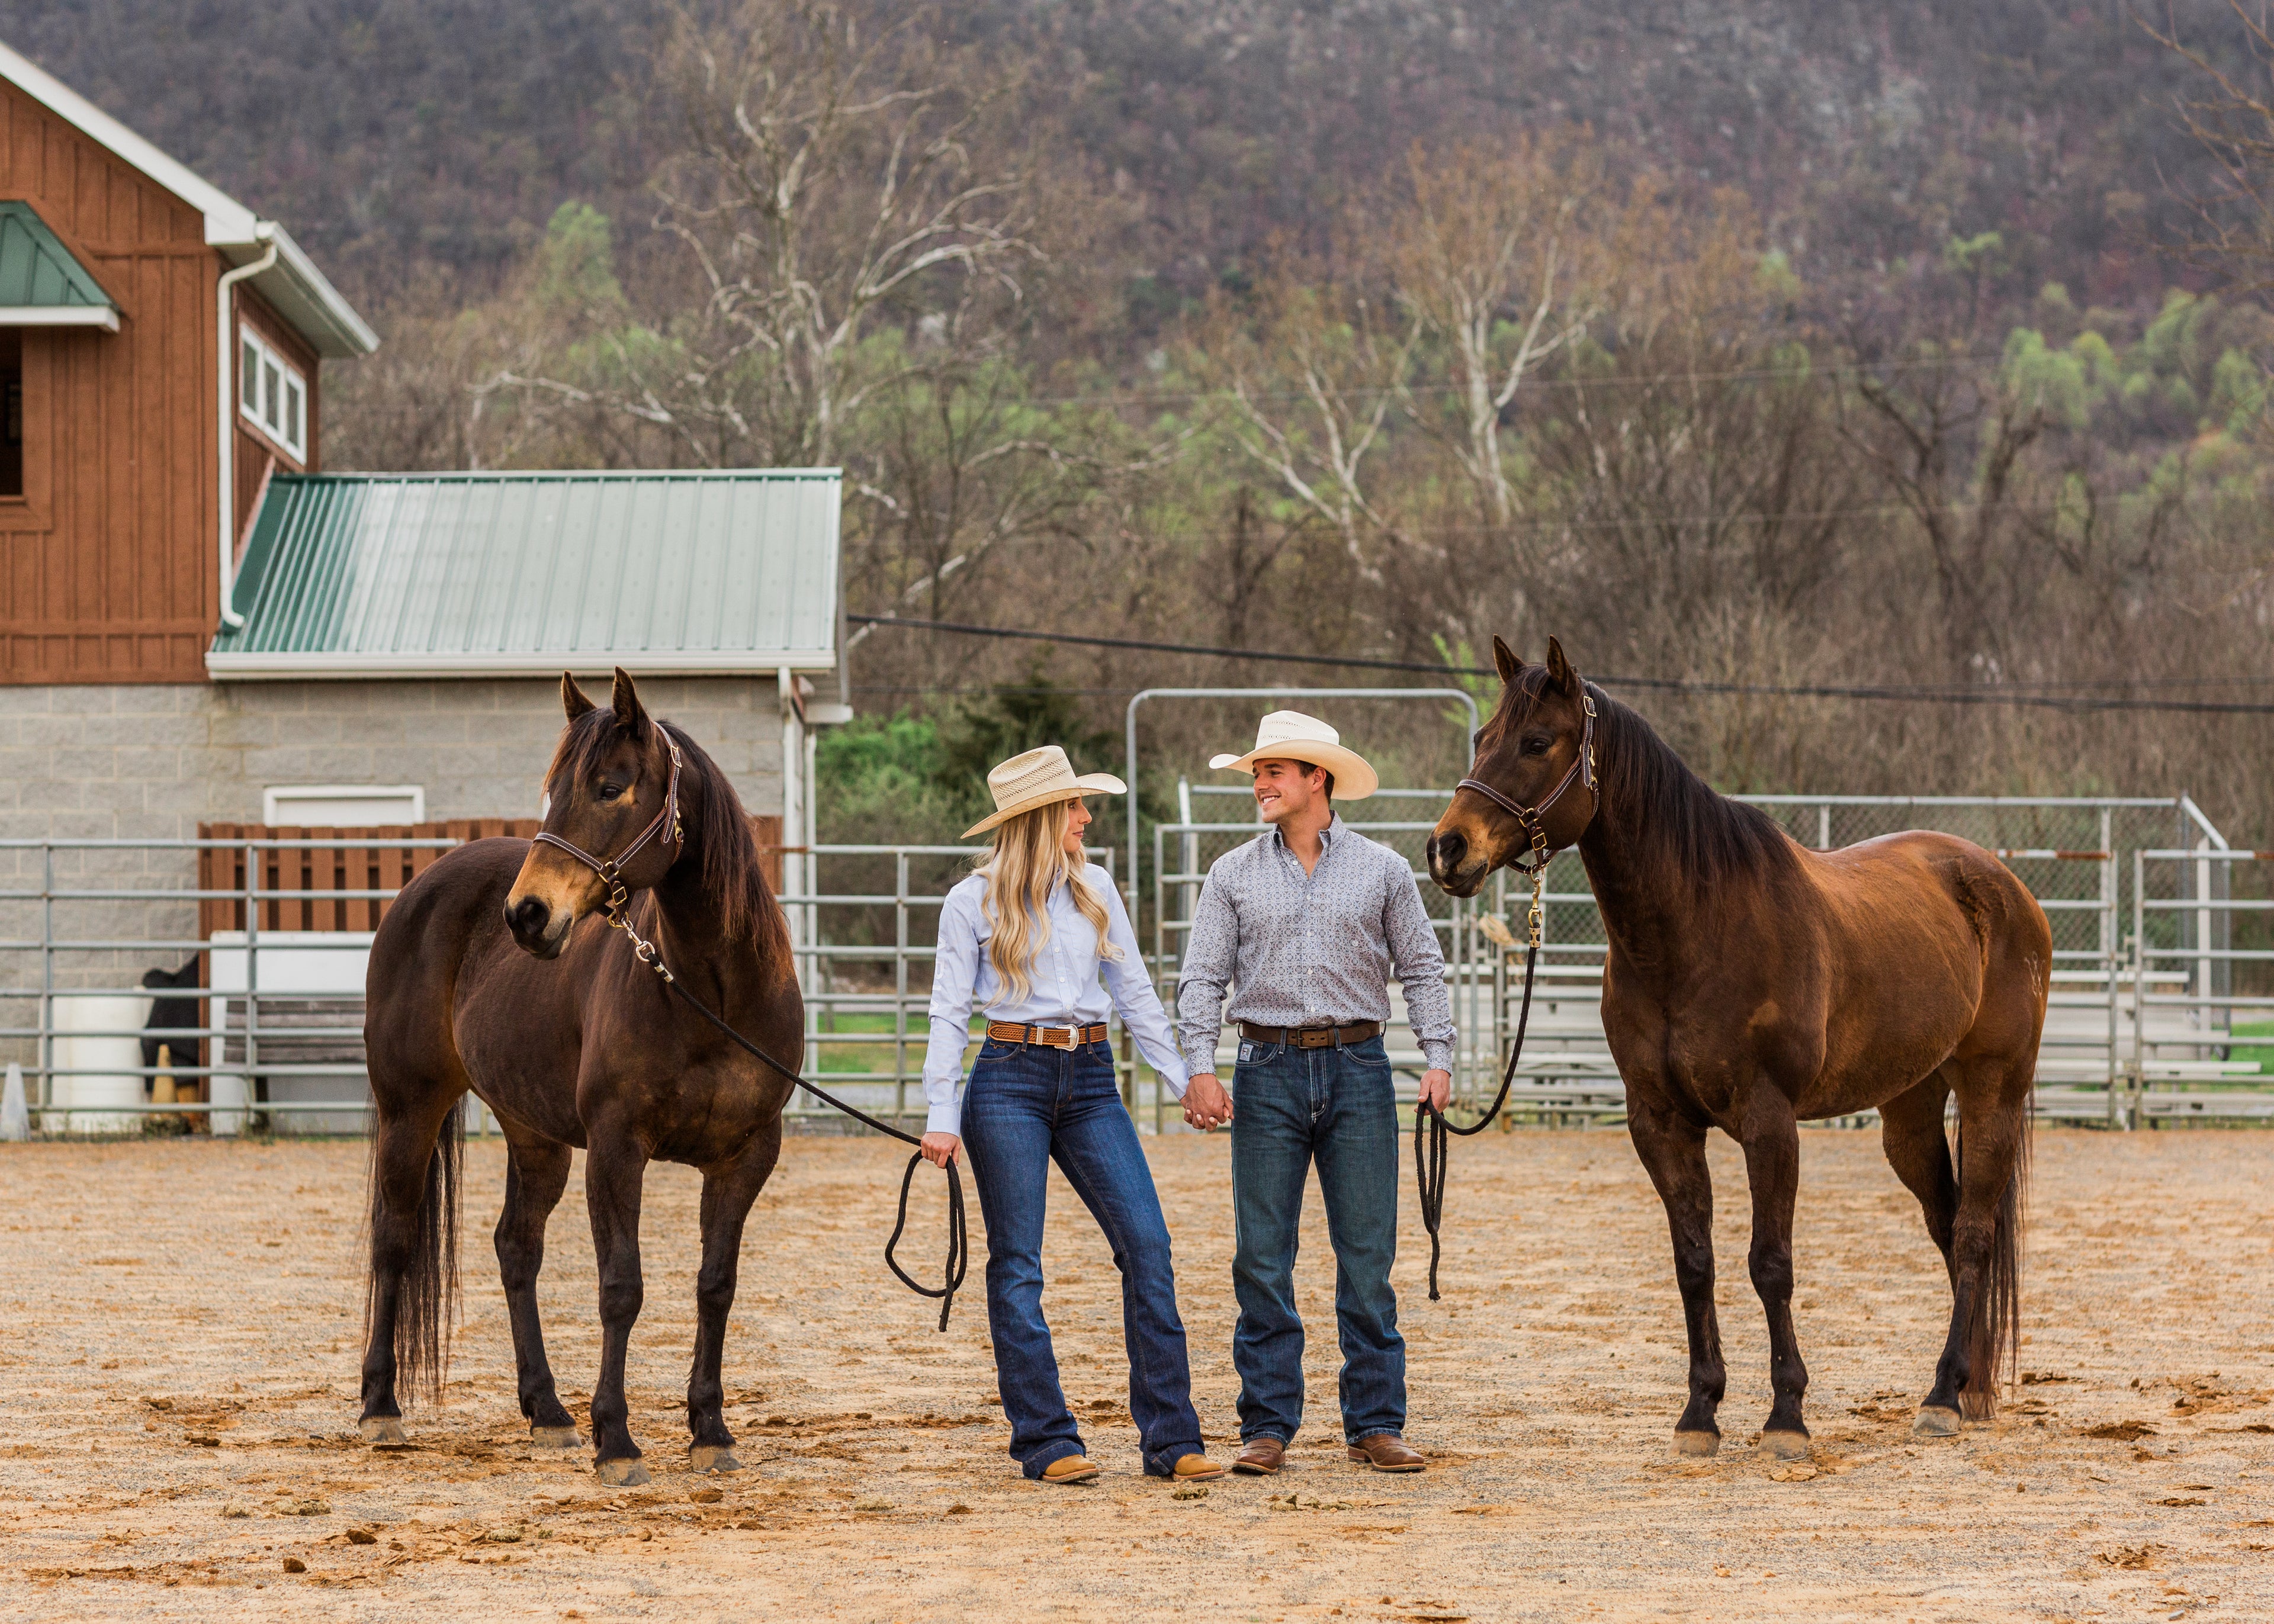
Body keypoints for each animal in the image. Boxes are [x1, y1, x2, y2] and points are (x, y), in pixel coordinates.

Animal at [352, 660, 800, 1482]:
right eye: (553, 788)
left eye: (611, 787)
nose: (527, 915)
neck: (713, 992)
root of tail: (421, 889)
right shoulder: (618, 1149)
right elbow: (621, 1288)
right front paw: (617, 1439)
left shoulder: (748, 1155)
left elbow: (715, 1286)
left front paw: (710, 1429)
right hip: (411, 1111)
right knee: (393, 1241)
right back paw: (381, 1406)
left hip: (535, 1136)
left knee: (515, 1248)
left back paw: (549, 1412)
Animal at [1419, 636, 2047, 1455]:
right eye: (1480, 738)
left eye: (1536, 742)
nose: (1447, 849)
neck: (1696, 928)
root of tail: (2000, 883)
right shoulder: (1660, 1124)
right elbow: (1695, 1263)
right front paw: (1700, 1412)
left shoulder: (1769, 1122)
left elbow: (1769, 1264)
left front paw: (1786, 1415)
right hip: (1909, 1110)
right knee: (1946, 1226)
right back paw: (1964, 1387)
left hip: (1991, 1091)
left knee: (1973, 1233)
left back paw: (1943, 1396)